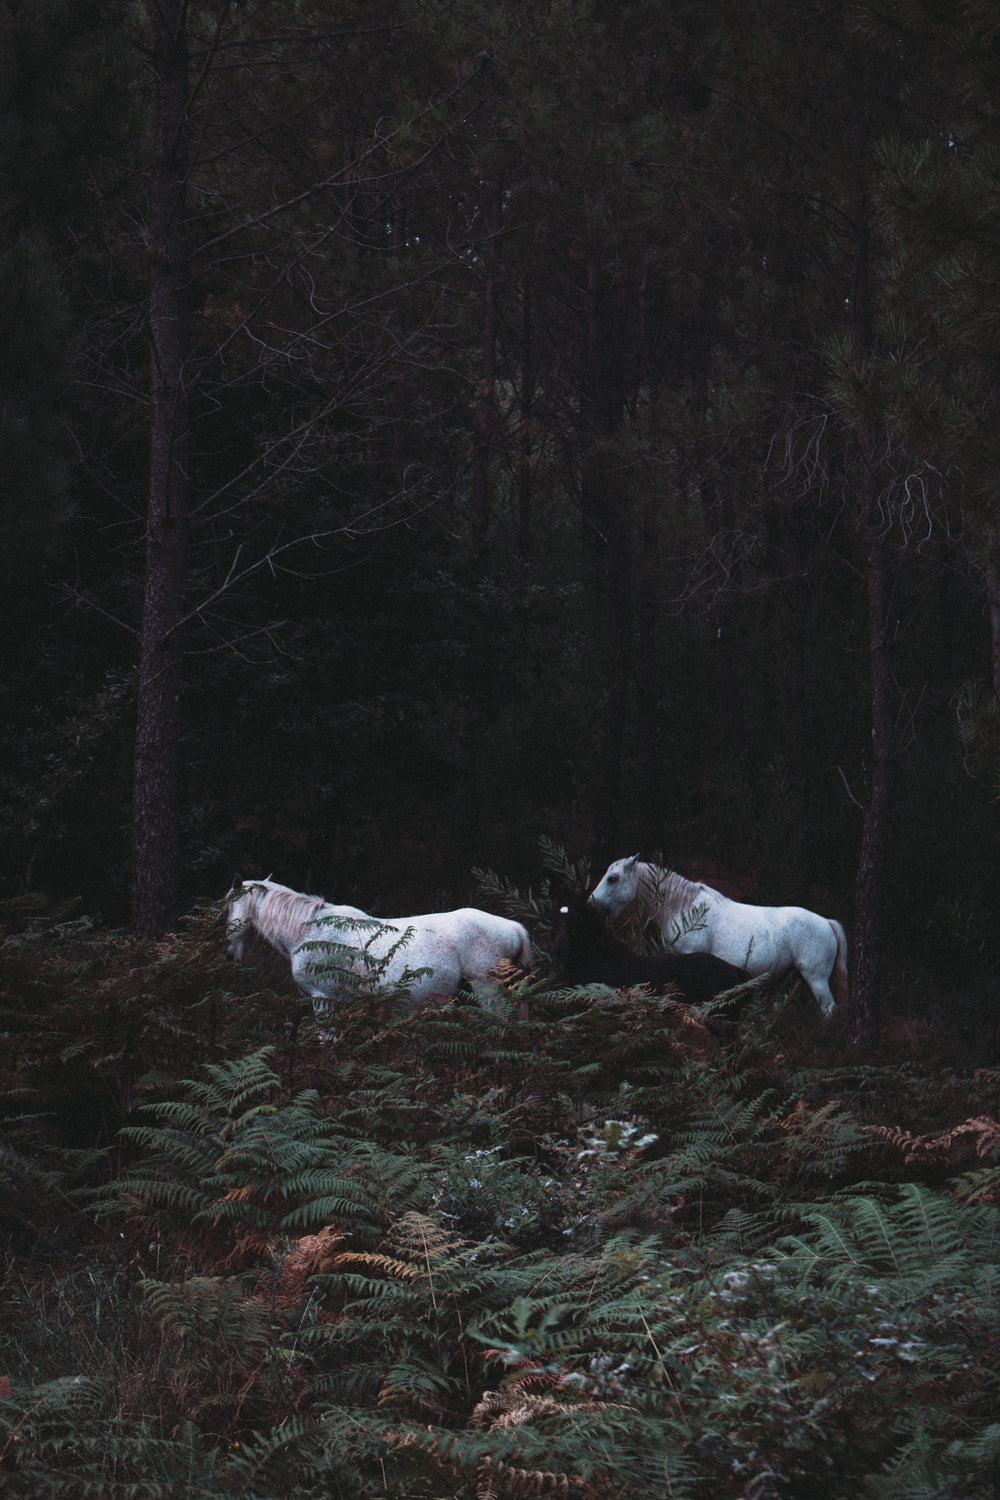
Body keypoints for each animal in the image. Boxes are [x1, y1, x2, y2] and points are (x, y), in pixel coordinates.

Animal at [224, 876, 530, 1014]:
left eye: (227, 907)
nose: (229, 954)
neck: (310, 930)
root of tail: (513, 927)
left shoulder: (323, 999)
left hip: (489, 994)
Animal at [590, 858, 851, 1020]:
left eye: (612, 878)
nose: (591, 903)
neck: (684, 907)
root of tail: (827, 922)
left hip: (816, 978)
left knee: (829, 1009)